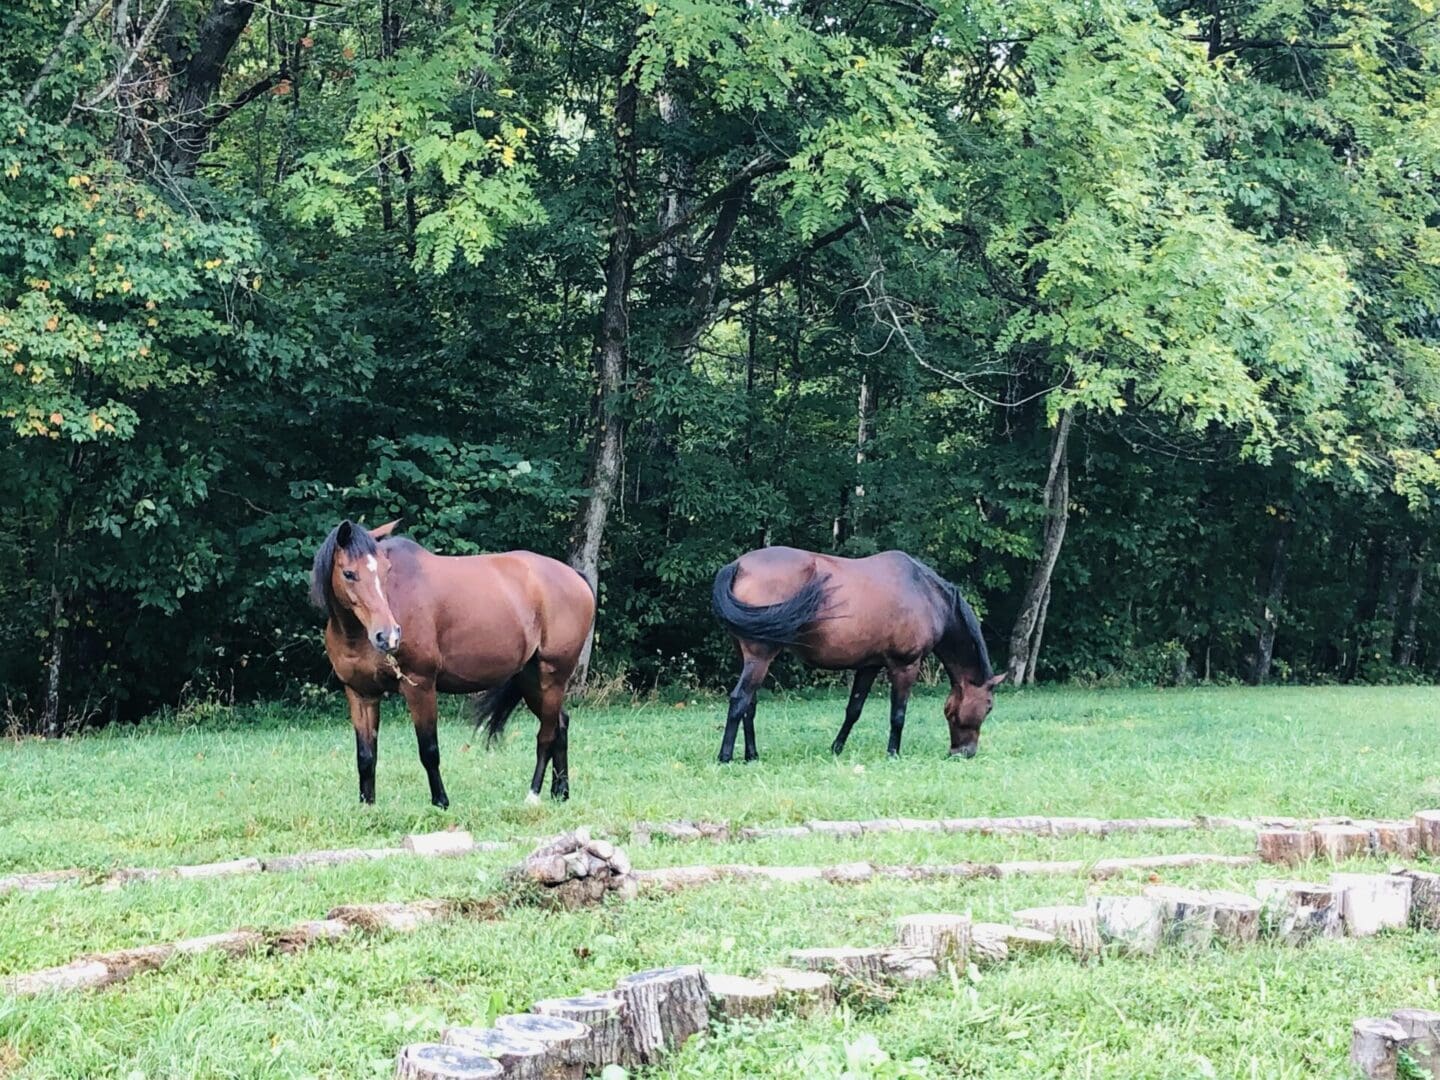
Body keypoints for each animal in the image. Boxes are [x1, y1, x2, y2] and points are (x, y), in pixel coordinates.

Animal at [306, 521, 593, 806]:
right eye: (349, 573)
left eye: (387, 571)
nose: (389, 636)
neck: (356, 634)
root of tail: (575, 576)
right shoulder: (361, 694)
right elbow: (366, 756)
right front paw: (367, 805)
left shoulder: (420, 686)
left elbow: (429, 750)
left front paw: (440, 802)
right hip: (531, 681)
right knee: (561, 725)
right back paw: (560, 792)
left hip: (552, 677)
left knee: (546, 735)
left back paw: (533, 795)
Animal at [708, 550, 1002, 771]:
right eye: (988, 707)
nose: (965, 753)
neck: (925, 593)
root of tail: (738, 565)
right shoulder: (905, 665)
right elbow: (898, 714)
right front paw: (893, 753)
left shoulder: (869, 666)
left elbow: (854, 709)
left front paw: (836, 749)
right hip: (760, 657)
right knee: (739, 700)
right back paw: (725, 758)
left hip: (748, 657)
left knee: (750, 705)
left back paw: (752, 756)